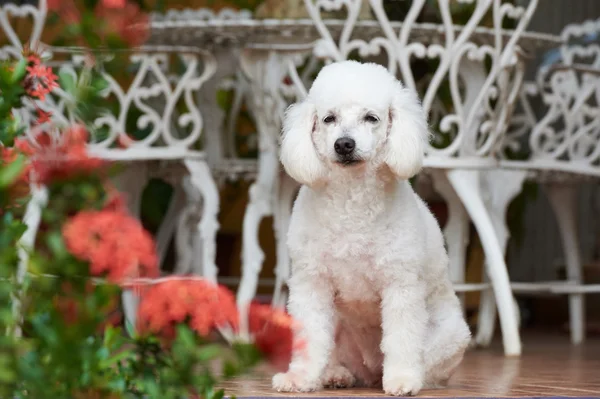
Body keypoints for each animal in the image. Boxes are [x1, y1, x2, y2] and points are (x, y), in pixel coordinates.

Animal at [274, 60, 474, 396]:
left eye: (371, 118)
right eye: (328, 118)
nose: (344, 144)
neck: (351, 201)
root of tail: (370, 371)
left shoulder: (401, 285)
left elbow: (402, 338)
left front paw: (403, 380)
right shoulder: (312, 283)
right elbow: (311, 335)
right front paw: (300, 378)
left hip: (450, 336)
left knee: (427, 362)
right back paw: (335, 374)